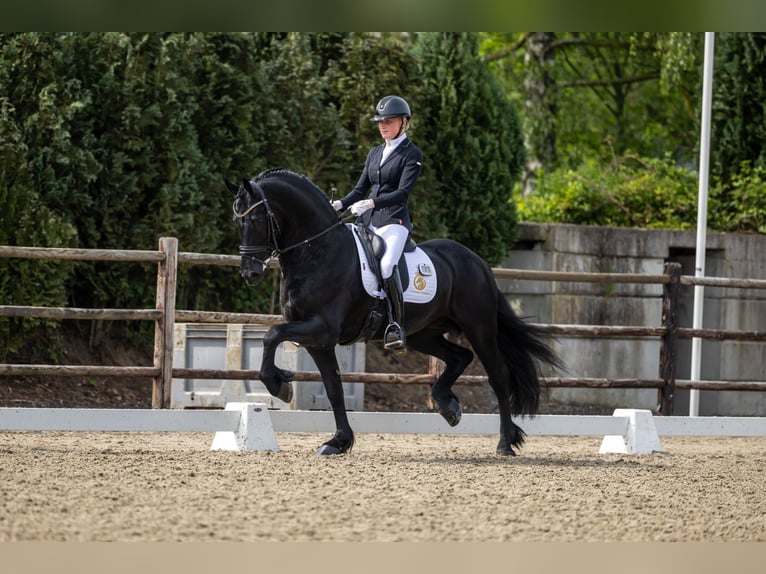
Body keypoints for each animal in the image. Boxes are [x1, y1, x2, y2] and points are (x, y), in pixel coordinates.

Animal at [228, 169, 560, 456]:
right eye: (235, 220)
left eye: (256, 218)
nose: (249, 273)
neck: (317, 252)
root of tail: (477, 261)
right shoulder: (317, 340)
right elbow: (333, 388)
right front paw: (338, 442)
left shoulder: (323, 328)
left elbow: (271, 335)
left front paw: (280, 385)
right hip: (423, 333)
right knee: (459, 357)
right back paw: (448, 406)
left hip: (479, 328)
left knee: (498, 376)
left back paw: (505, 443)